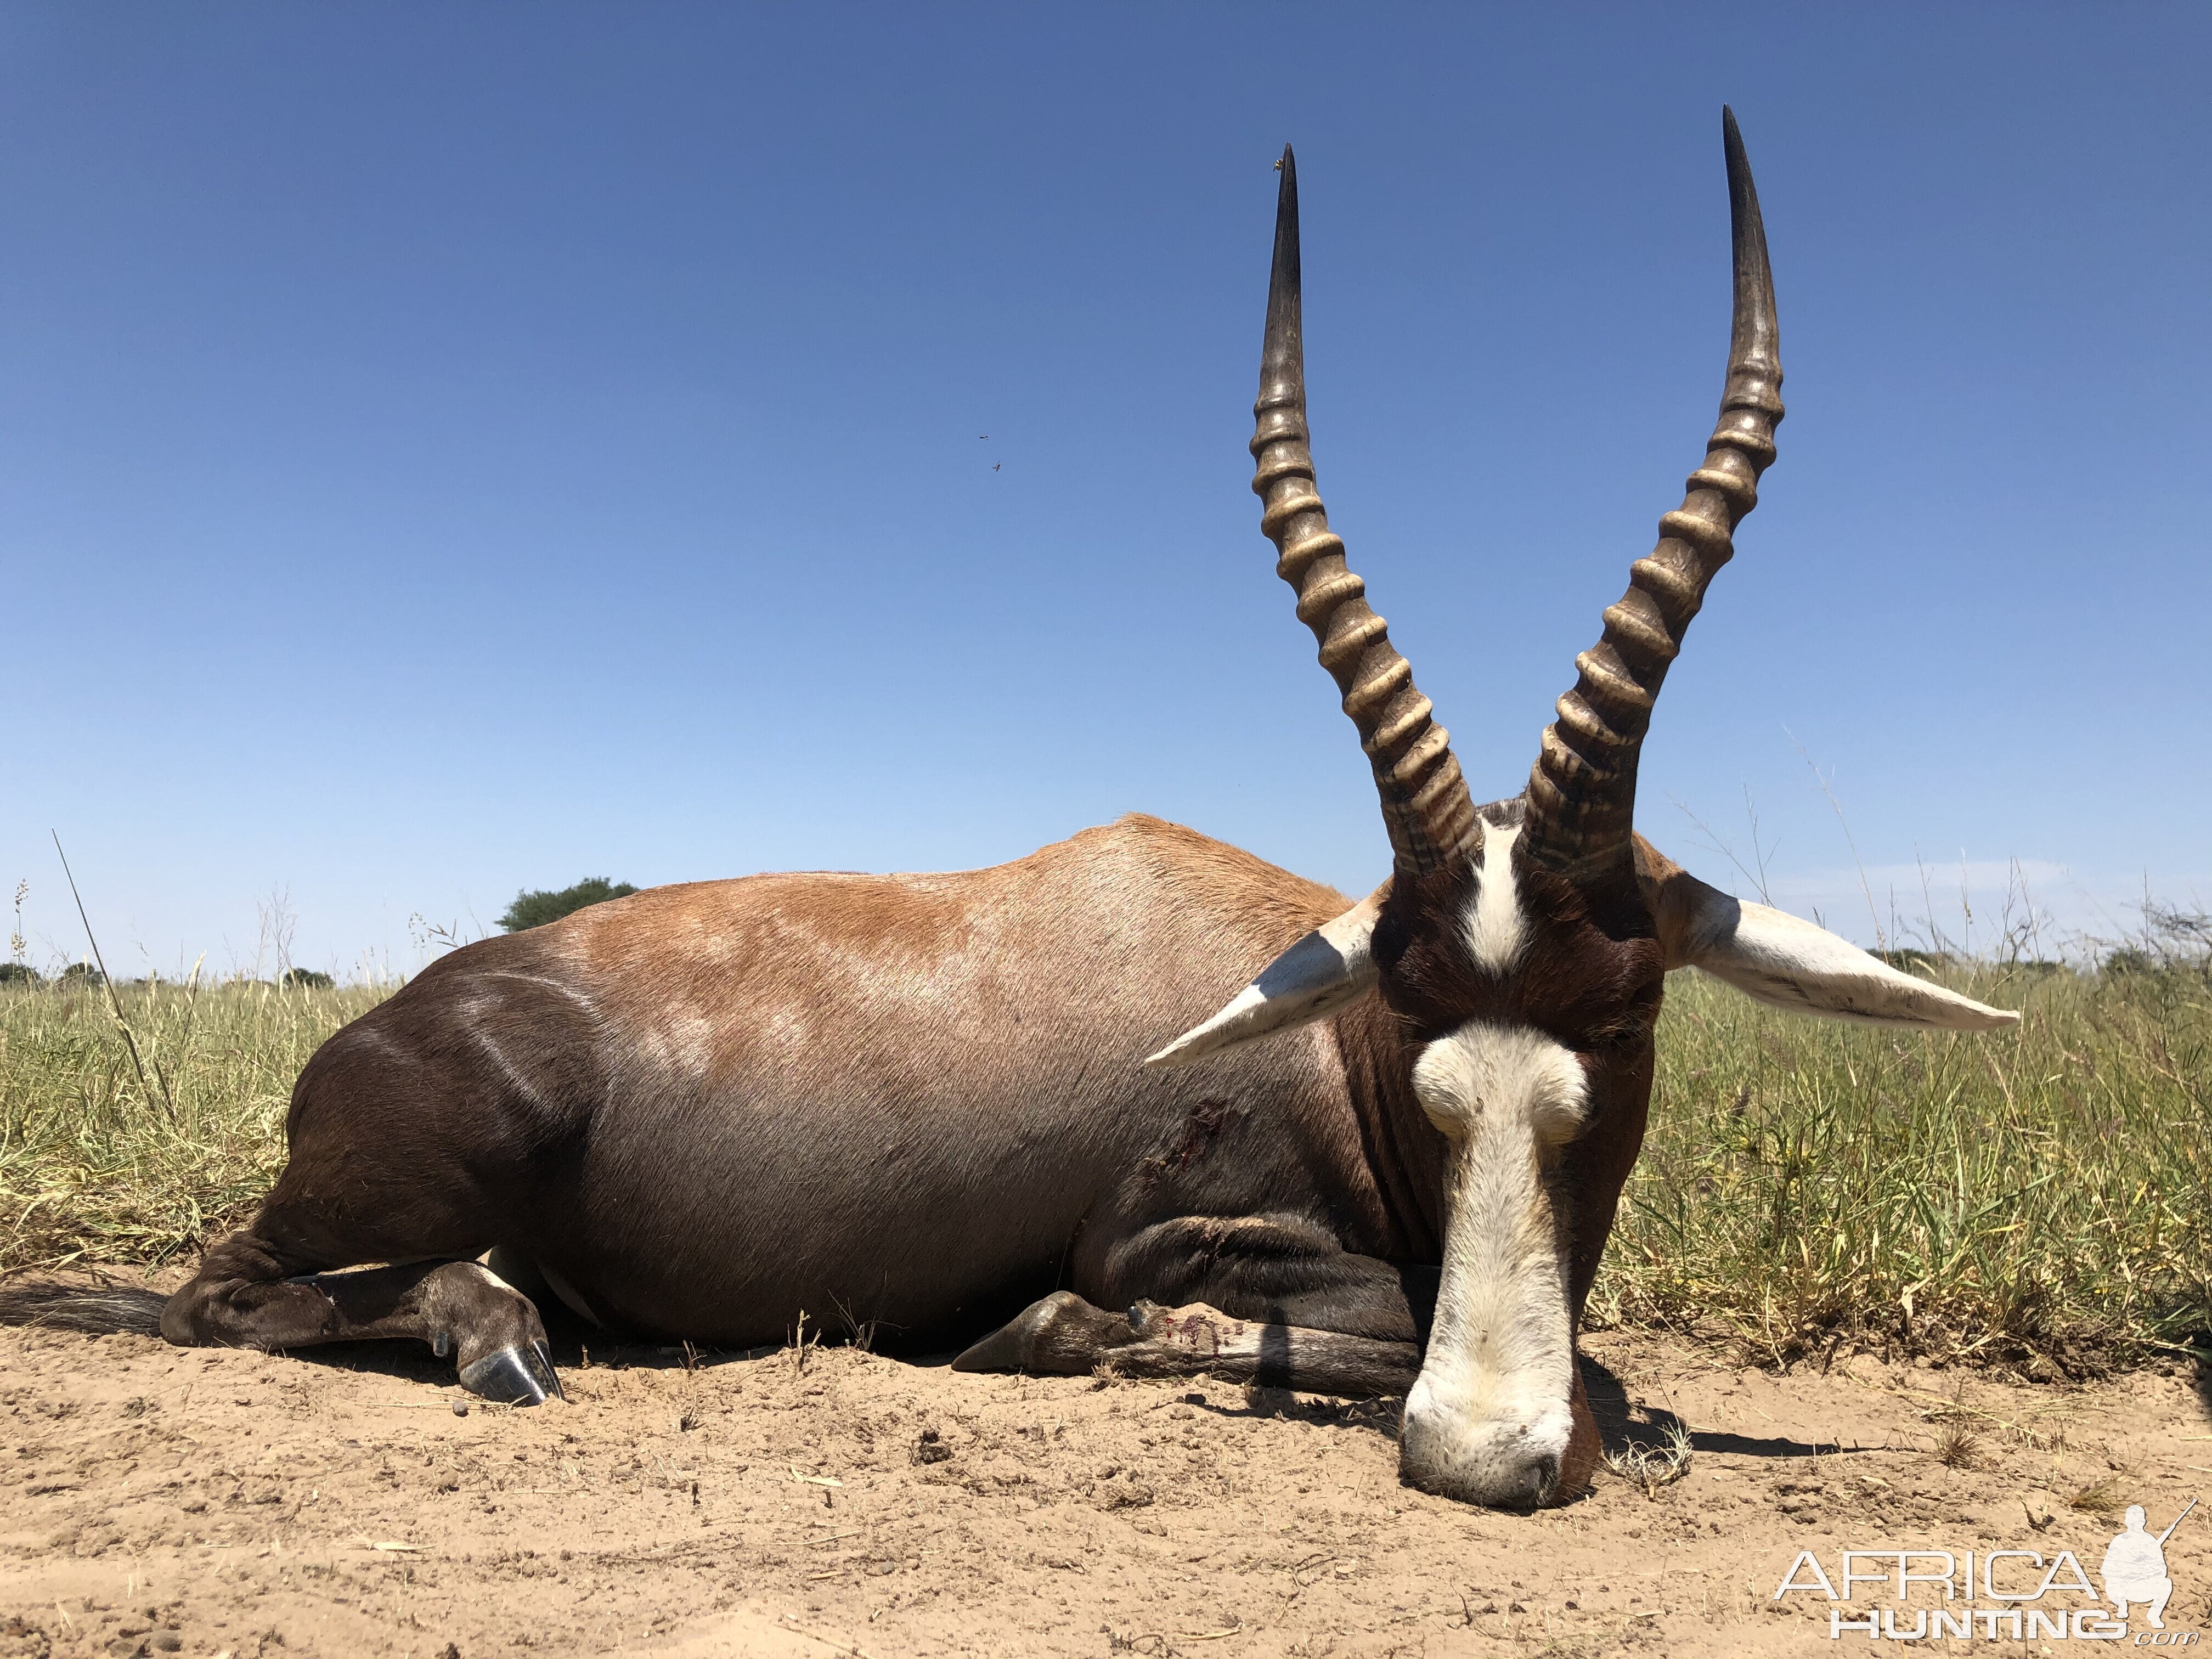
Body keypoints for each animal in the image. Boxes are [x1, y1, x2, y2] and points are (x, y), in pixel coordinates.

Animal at [0, 110, 2017, 1513]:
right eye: (1420, 1028)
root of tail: (374, 1030)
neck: (1310, 1036)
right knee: (220, 1291)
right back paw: (496, 1339)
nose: (1477, 1454)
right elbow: (1234, 1324)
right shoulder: (1168, 1240)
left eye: (1629, 1018)